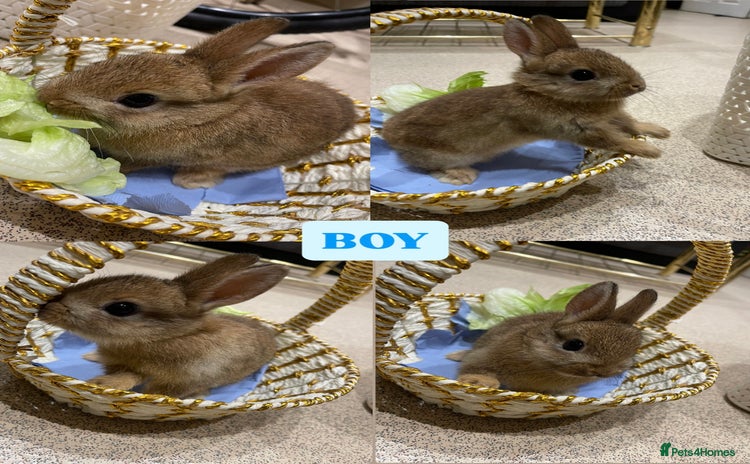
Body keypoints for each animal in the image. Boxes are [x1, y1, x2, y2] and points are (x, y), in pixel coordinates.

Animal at [37, 254, 288, 398]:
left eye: (122, 308)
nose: (46, 308)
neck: (164, 337)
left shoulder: (183, 381)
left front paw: (101, 384)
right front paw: (100, 381)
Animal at [381, 15, 670, 185]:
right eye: (583, 75)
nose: (639, 85)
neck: (549, 93)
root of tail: (387, 132)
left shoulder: (610, 117)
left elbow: (629, 123)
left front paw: (659, 131)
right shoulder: (577, 129)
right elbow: (614, 139)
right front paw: (651, 151)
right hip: (438, 154)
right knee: (428, 168)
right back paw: (463, 176)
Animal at [450, 281, 657, 395]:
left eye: (631, 353)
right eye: (574, 344)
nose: (603, 372)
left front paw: (567, 392)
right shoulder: (485, 355)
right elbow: (476, 367)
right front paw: (479, 382)